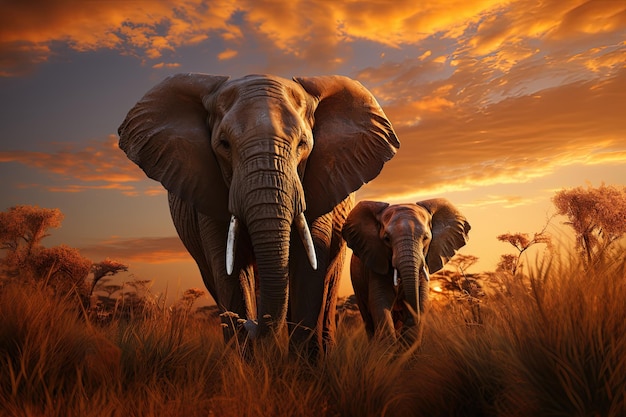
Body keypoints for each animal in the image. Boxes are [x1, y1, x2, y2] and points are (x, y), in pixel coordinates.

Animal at [342, 198, 468, 344]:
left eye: (425, 238)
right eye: (387, 239)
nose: (410, 318)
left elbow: (421, 302)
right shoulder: (376, 261)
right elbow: (380, 303)